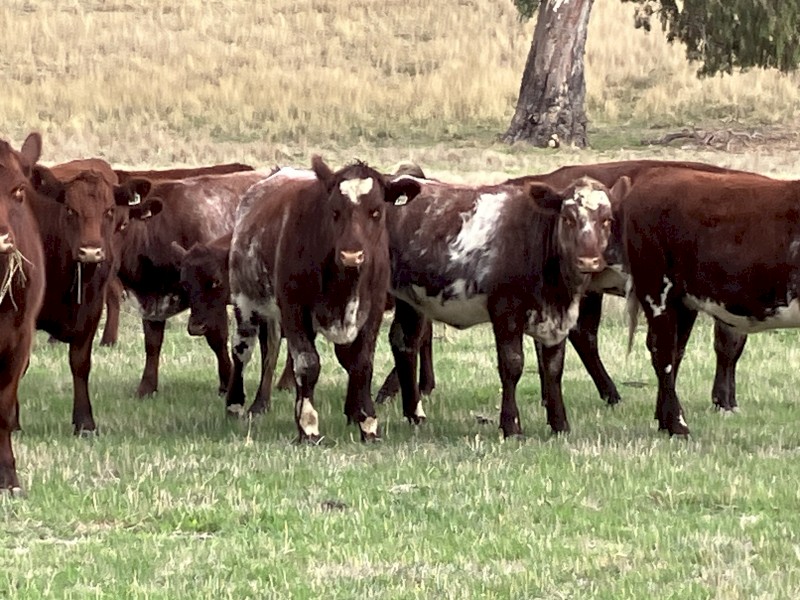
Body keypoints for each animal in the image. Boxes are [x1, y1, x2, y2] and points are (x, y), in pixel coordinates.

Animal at [30, 158, 160, 434]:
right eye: (70, 210)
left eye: (109, 211)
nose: (90, 252)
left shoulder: (90, 310)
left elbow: (80, 363)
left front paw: (84, 422)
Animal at [115, 169, 270, 397]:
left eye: (123, 223)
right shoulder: (153, 301)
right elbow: (152, 342)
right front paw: (146, 388)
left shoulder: (214, 304)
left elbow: (216, 338)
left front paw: (226, 383)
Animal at [226, 159, 421, 442]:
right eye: (335, 211)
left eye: (376, 212)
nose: (351, 255)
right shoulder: (293, 309)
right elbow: (307, 364)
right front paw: (308, 425)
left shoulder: (372, 311)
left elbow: (362, 365)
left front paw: (367, 422)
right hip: (245, 302)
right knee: (243, 350)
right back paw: (236, 404)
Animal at [385, 174, 629, 437]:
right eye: (568, 218)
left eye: (607, 220)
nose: (588, 261)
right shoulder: (506, 310)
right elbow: (512, 365)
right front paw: (511, 425)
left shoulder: (557, 319)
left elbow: (554, 368)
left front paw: (559, 424)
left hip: (410, 300)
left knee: (404, 342)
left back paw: (414, 414)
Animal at [623, 167, 800, 436]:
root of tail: (656, 174)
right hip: (656, 290)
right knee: (663, 354)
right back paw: (678, 426)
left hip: (682, 302)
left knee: (673, 351)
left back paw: (665, 422)